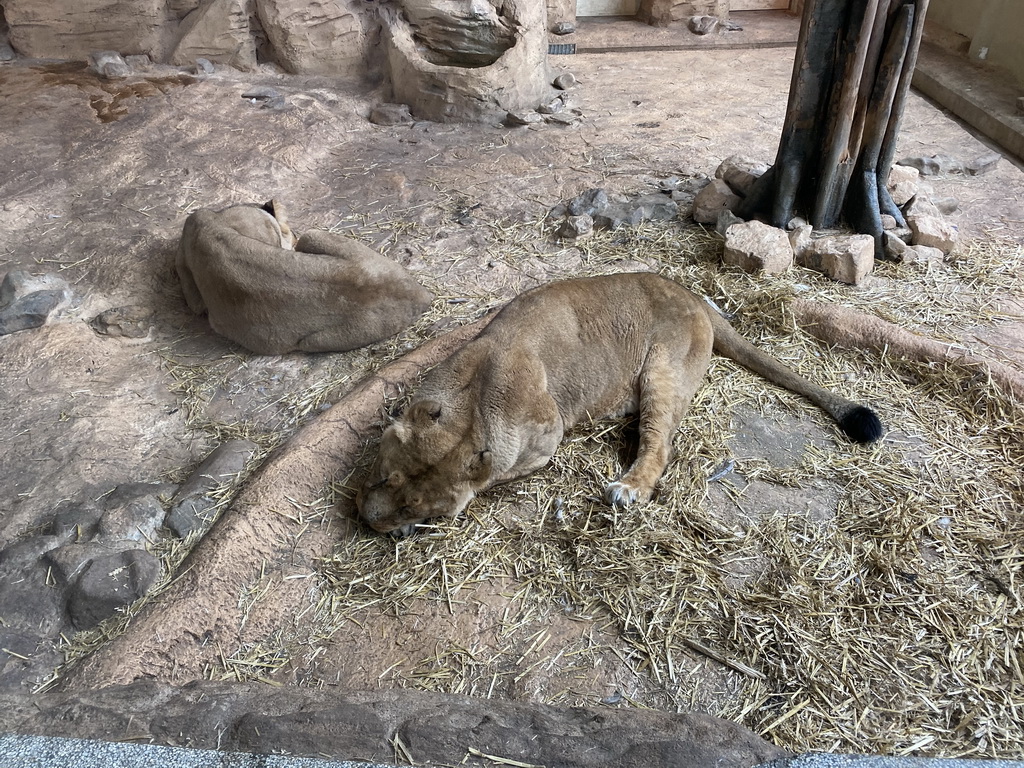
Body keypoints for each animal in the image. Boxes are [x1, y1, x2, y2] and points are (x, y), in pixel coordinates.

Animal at [358, 274, 880, 536]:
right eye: (383, 477)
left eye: (425, 511)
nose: (369, 523)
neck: (473, 406)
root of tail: (697, 298)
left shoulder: (545, 438)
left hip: (661, 369)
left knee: (659, 443)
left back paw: (627, 488)